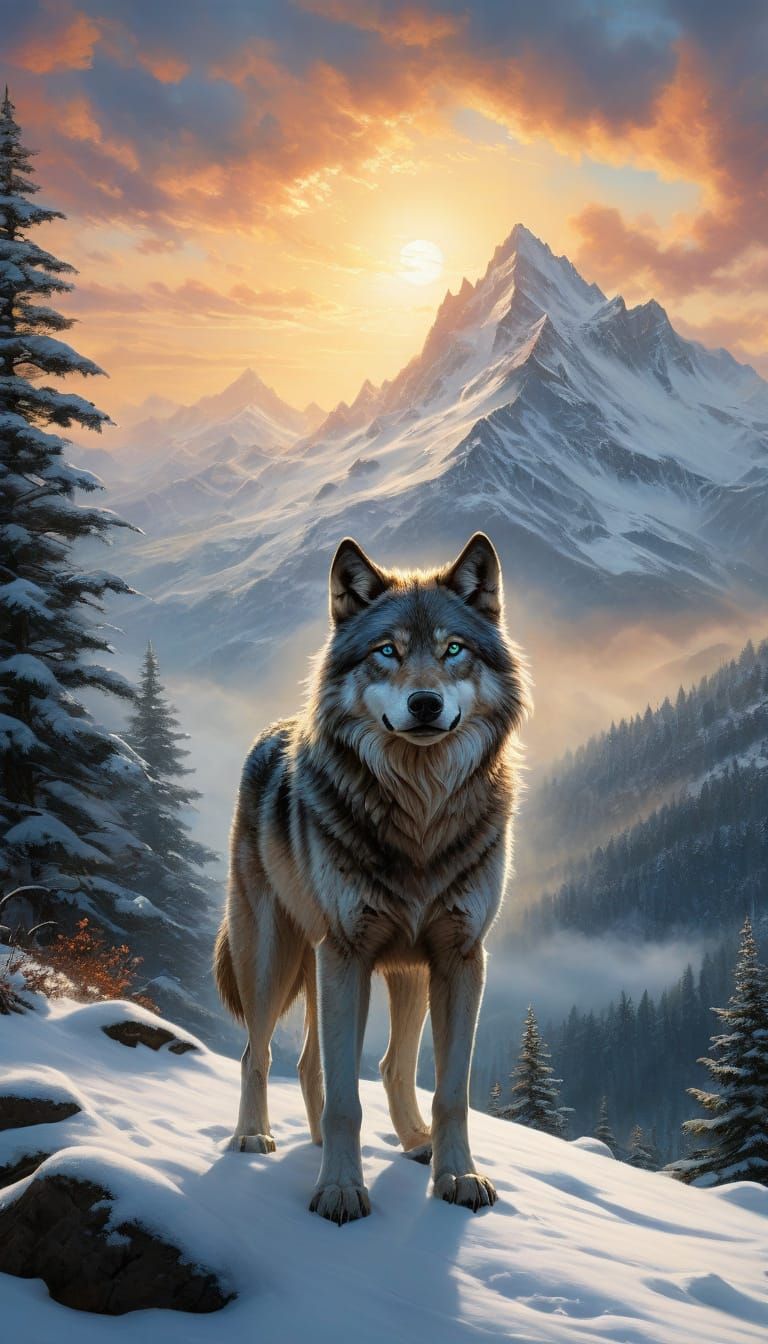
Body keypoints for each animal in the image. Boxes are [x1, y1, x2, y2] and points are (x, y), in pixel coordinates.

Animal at [214, 532, 530, 1224]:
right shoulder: (346, 952)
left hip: (403, 971)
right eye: (388, 651)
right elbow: (343, 1099)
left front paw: (457, 1177)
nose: (424, 703)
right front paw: (337, 1189)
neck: (419, 814)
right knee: (261, 1053)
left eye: (453, 649)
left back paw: (412, 1143)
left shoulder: (462, 957)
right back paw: (254, 1137)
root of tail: (270, 730)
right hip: (276, 957)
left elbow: (451, 1092)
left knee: (381, 1065)